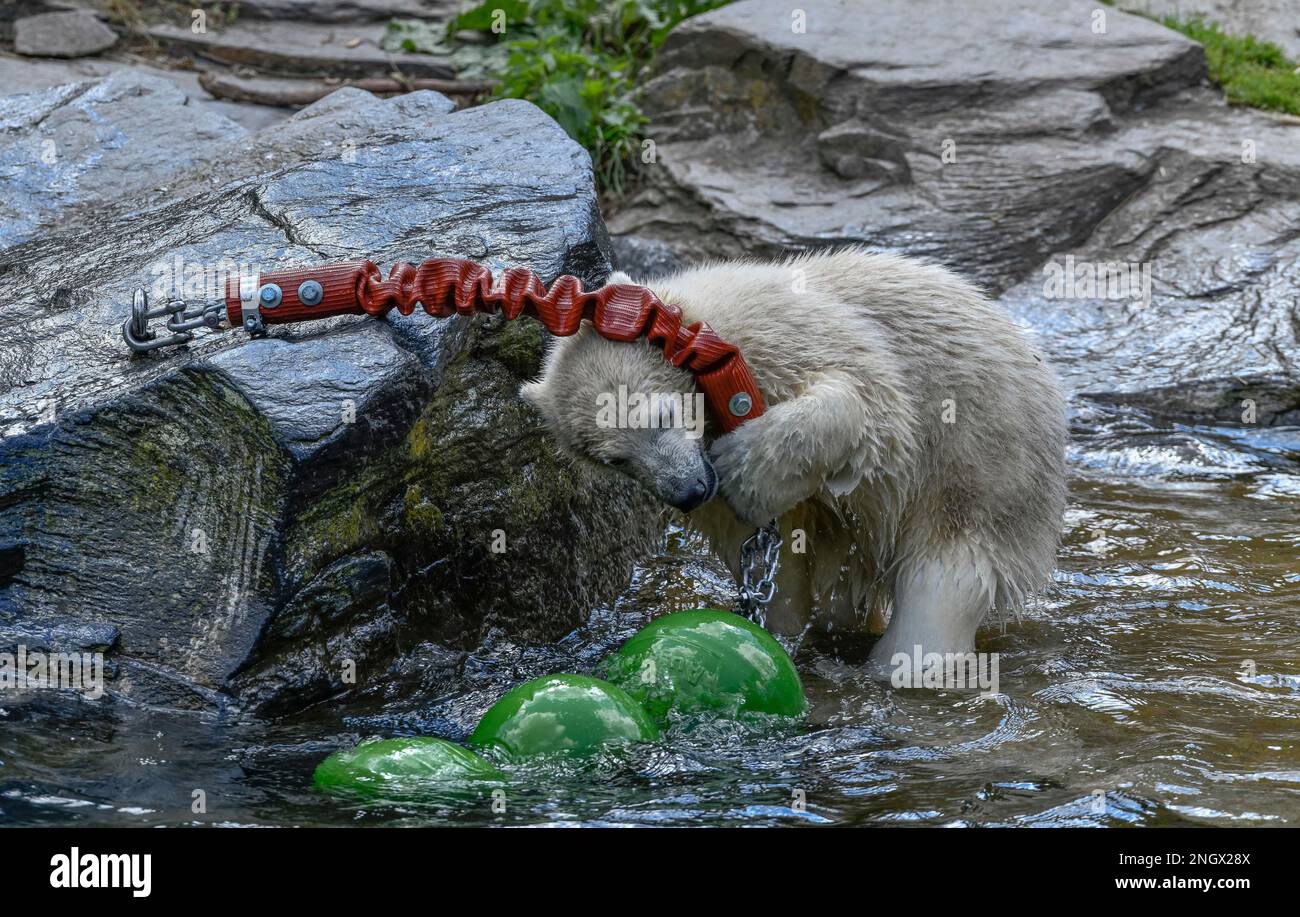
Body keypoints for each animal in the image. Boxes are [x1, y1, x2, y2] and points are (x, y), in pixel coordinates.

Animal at [520, 247, 1067, 668]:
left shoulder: (790, 334)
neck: (712, 347)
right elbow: (779, 564)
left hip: (987, 474)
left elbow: (874, 406)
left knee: (943, 586)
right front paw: (772, 632)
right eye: (614, 460)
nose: (688, 492)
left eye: (661, 415)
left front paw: (747, 472)